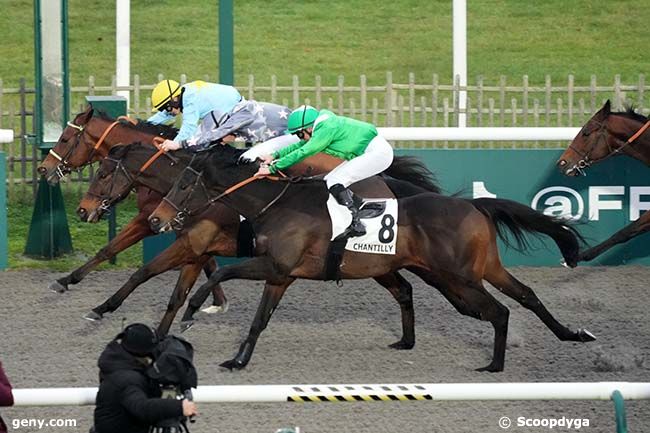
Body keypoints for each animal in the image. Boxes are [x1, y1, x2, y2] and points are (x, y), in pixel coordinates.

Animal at [76, 142, 440, 334]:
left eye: (103, 173)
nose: (82, 210)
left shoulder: (191, 244)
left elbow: (144, 273)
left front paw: (100, 308)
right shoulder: (196, 250)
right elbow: (175, 295)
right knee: (403, 289)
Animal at [148, 143, 592, 370]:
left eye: (185, 184)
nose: (157, 218)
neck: (275, 203)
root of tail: (474, 205)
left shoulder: (274, 266)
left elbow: (217, 277)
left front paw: (193, 311)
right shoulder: (281, 275)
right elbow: (259, 320)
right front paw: (238, 361)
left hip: (460, 277)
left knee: (499, 311)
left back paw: (495, 365)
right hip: (475, 272)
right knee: (525, 295)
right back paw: (572, 334)